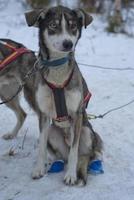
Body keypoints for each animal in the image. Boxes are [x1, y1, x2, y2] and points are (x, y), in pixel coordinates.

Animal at [24, 5, 103, 186]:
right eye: (53, 25)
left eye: (73, 26)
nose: (68, 43)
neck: (57, 70)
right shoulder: (43, 115)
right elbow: (41, 147)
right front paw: (39, 169)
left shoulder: (76, 115)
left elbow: (75, 151)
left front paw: (71, 175)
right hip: (53, 131)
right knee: (62, 155)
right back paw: (56, 163)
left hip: (87, 132)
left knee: (86, 154)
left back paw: (90, 165)